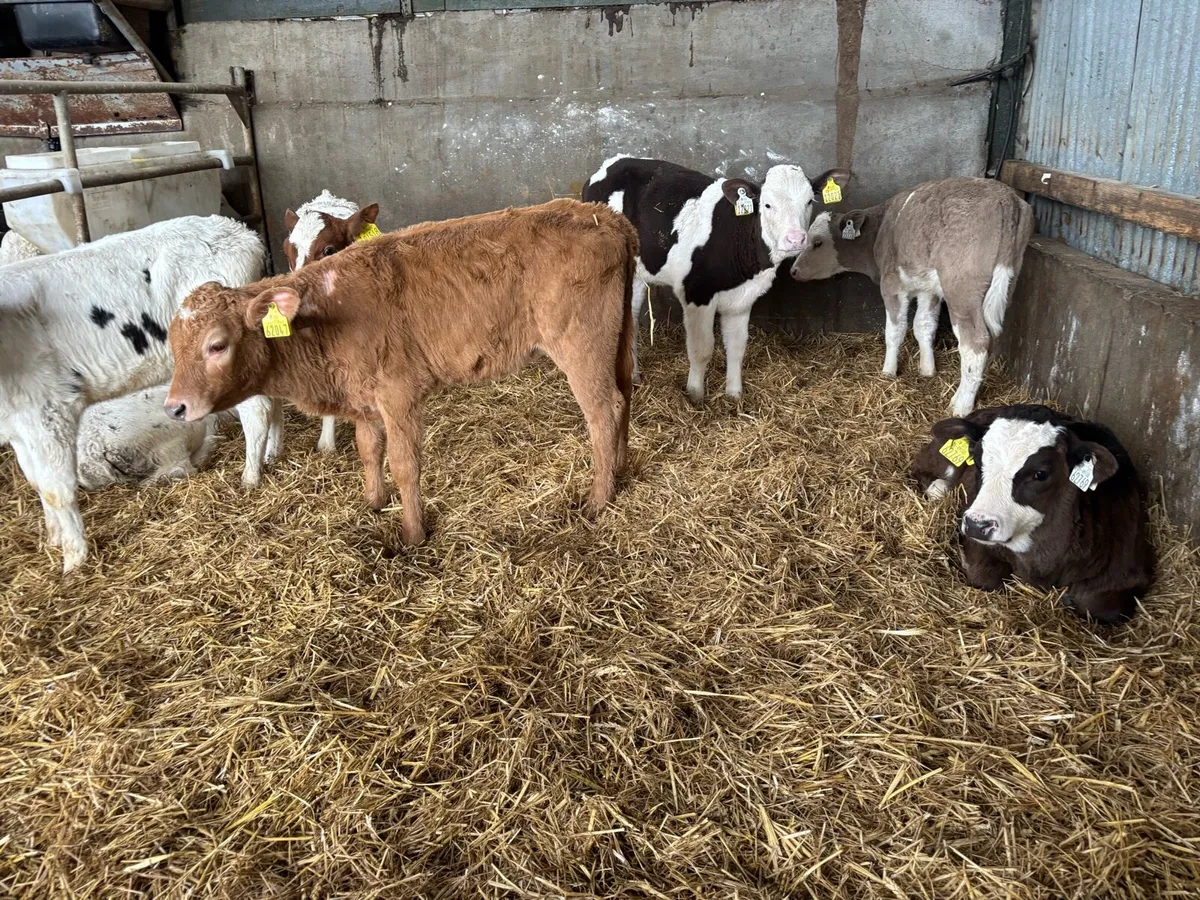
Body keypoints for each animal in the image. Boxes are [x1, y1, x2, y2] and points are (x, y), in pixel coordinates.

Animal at [0, 215, 281, 573]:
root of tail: (240, 232)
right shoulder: (17, 425)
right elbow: (36, 481)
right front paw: (53, 539)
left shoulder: (49, 409)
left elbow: (56, 490)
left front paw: (74, 561)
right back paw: (272, 453)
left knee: (255, 411)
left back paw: (250, 476)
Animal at [583, 156, 850, 405]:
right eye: (767, 204)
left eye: (809, 201)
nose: (795, 239)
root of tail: (613, 163)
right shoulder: (697, 294)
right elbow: (701, 349)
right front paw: (695, 396)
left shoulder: (743, 299)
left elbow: (737, 346)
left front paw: (734, 395)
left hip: (638, 273)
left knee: (632, 316)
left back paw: (634, 375)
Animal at [790, 177, 1034, 417]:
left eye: (817, 242)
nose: (793, 270)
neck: (880, 230)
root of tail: (1006, 196)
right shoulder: (929, 288)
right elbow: (923, 326)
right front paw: (927, 369)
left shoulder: (892, 285)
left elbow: (894, 331)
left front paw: (888, 372)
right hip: (1006, 281)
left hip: (961, 290)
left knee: (975, 342)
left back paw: (961, 406)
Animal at [911, 404, 1153, 625]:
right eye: (978, 461)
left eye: (1041, 473)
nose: (977, 525)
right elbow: (985, 578)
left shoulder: (1130, 573)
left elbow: (1100, 608)